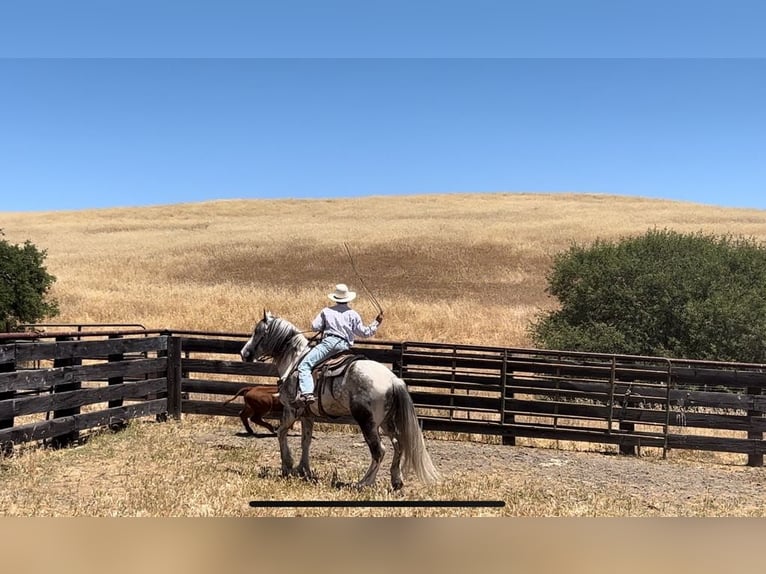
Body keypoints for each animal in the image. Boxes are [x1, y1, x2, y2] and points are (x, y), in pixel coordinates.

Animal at [240, 310, 440, 490]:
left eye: (257, 331)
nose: (244, 353)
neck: (295, 360)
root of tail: (393, 380)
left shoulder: (291, 410)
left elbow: (281, 433)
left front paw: (287, 466)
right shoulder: (307, 415)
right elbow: (306, 441)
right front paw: (304, 470)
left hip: (368, 422)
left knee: (379, 450)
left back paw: (363, 483)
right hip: (386, 421)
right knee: (398, 445)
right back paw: (396, 481)